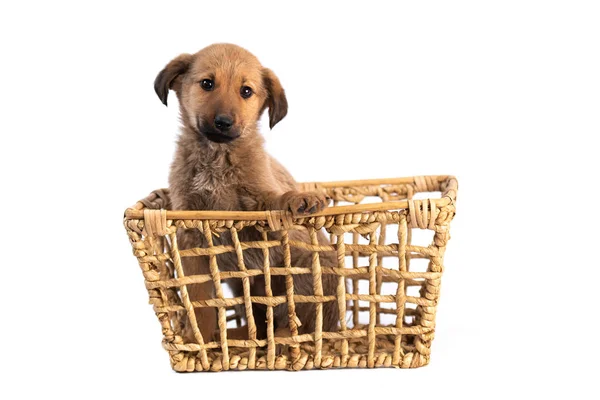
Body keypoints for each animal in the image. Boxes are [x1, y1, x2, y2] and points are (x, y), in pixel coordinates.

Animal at [152, 43, 340, 344]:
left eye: (246, 91)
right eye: (207, 83)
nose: (223, 122)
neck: (217, 158)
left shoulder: (259, 204)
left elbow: (275, 199)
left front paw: (297, 198)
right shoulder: (191, 236)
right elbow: (199, 302)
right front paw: (198, 341)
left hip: (307, 267)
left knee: (304, 323)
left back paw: (285, 338)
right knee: (263, 325)